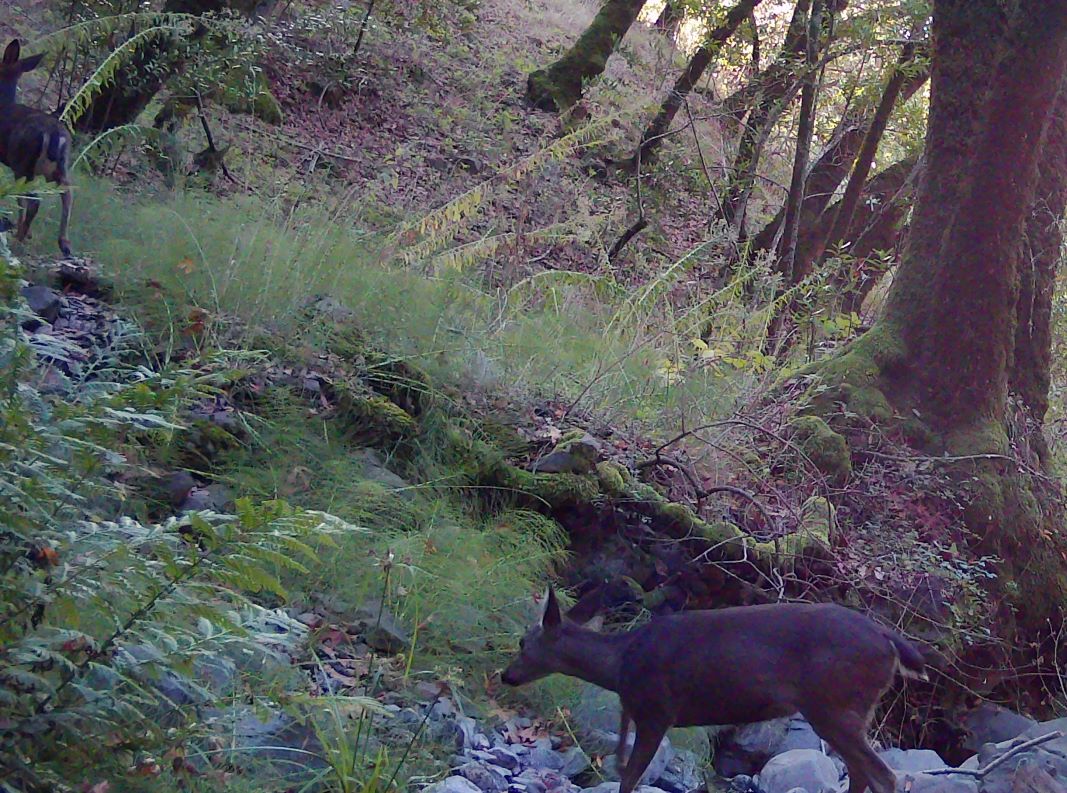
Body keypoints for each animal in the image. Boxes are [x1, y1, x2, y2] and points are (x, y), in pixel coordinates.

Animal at [0, 39, 73, 257]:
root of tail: (55, 135)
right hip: (60, 166)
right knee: (67, 193)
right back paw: (64, 243)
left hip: (23, 163)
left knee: (33, 200)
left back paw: (20, 236)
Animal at [501, 586, 928, 793]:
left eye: (523, 642)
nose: (506, 675)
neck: (621, 663)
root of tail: (889, 640)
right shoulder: (635, 712)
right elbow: (622, 768)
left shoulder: (658, 710)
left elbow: (630, 778)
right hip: (849, 709)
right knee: (861, 774)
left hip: (832, 705)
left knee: (883, 776)